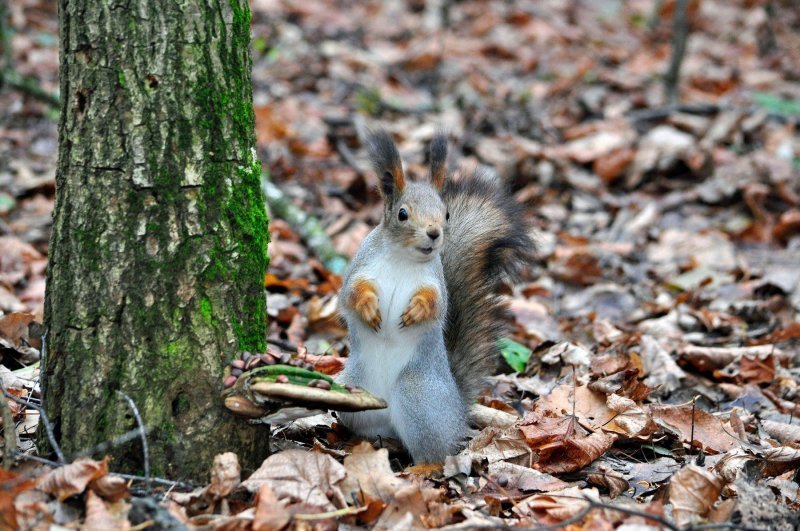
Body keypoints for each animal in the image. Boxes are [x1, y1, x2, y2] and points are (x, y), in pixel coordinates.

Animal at [334, 129, 536, 462]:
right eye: (402, 214)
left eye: (447, 214)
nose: (433, 232)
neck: (403, 259)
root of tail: (456, 409)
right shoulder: (359, 269)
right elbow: (350, 295)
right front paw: (368, 307)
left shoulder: (435, 283)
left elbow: (436, 305)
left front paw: (416, 311)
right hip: (351, 390)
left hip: (417, 396)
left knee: (435, 454)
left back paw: (422, 466)